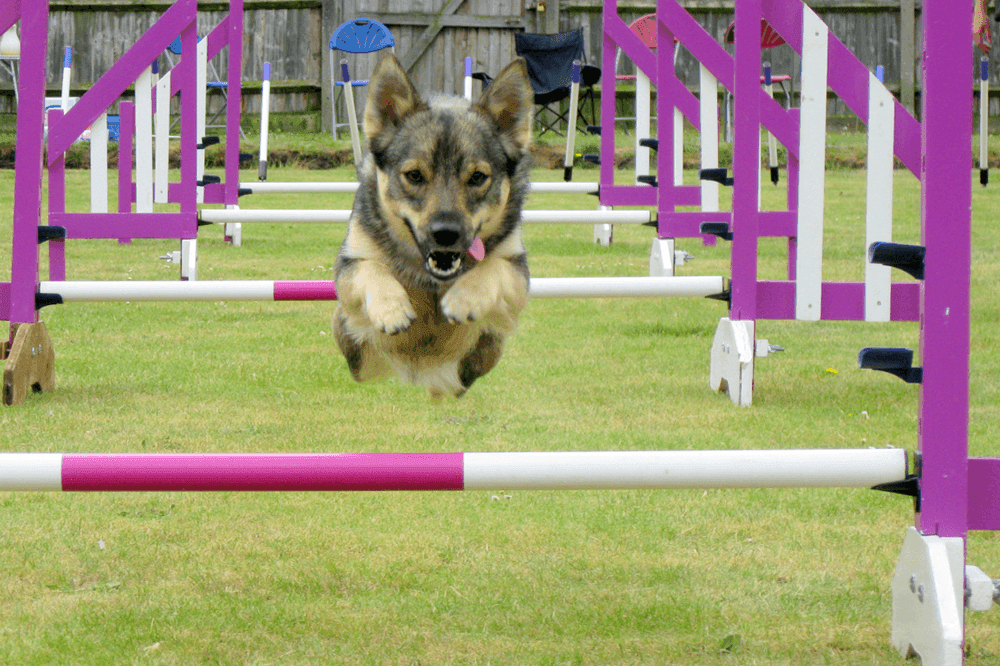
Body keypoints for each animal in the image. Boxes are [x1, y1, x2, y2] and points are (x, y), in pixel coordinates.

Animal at [332, 54, 536, 396]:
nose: (446, 234)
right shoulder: (349, 263)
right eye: (414, 175)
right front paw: (391, 309)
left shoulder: (518, 271)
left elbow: (494, 266)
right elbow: (372, 268)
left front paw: (464, 298)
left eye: (477, 177)